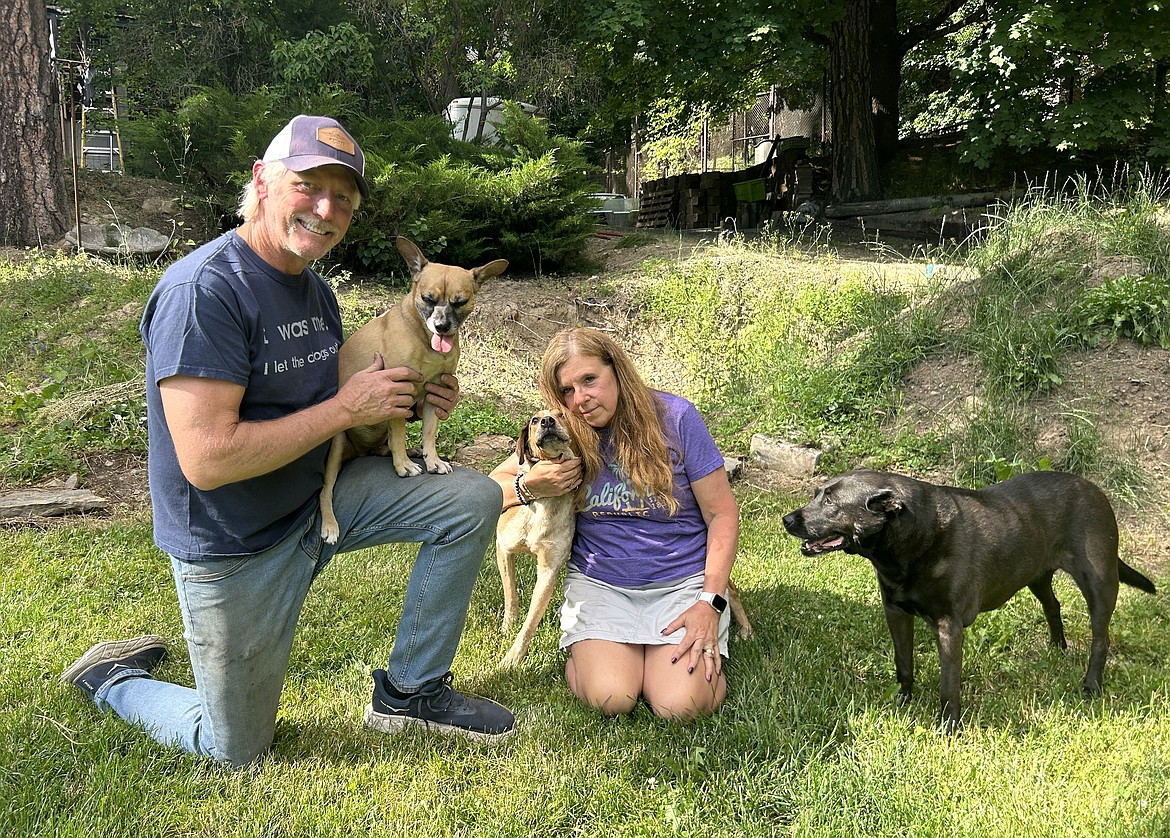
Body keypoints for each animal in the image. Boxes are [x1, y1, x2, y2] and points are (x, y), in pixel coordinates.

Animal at [318, 234, 505, 543]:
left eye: (460, 302)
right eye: (428, 299)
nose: (442, 326)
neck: (424, 341)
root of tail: (355, 452)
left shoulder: (433, 393)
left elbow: (428, 432)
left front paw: (432, 459)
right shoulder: (397, 393)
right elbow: (400, 435)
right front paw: (403, 464)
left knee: (379, 448)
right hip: (336, 445)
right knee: (326, 489)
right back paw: (330, 525)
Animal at [781, 468, 1155, 730]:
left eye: (831, 502)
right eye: (817, 494)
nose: (787, 519)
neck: (914, 542)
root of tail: (1094, 488)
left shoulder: (950, 626)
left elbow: (949, 685)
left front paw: (948, 728)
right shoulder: (895, 612)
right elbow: (904, 664)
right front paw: (902, 701)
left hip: (1099, 580)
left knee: (1100, 638)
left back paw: (1091, 685)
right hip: (1036, 575)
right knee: (1053, 606)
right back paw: (1057, 648)